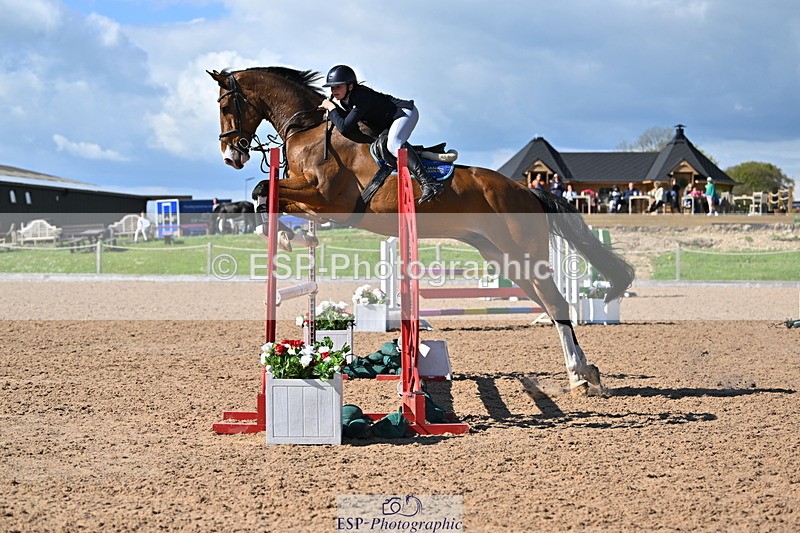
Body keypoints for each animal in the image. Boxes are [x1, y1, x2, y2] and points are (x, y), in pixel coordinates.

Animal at [207, 66, 635, 394]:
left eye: (227, 105)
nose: (231, 157)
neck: (310, 130)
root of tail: (528, 190)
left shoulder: (329, 197)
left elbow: (263, 190)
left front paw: (276, 232)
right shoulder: (312, 200)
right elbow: (269, 194)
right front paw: (283, 232)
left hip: (525, 252)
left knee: (558, 303)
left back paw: (580, 376)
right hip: (504, 257)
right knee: (548, 304)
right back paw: (584, 371)